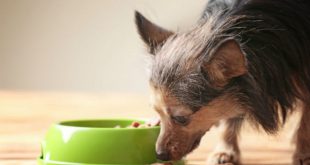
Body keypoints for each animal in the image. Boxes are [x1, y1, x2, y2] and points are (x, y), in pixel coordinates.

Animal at [134, 0, 310, 164]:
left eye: (181, 118)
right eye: (157, 112)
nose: (160, 155)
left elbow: (305, 122)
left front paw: (303, 153)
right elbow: (229, 113)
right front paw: (225, 150)